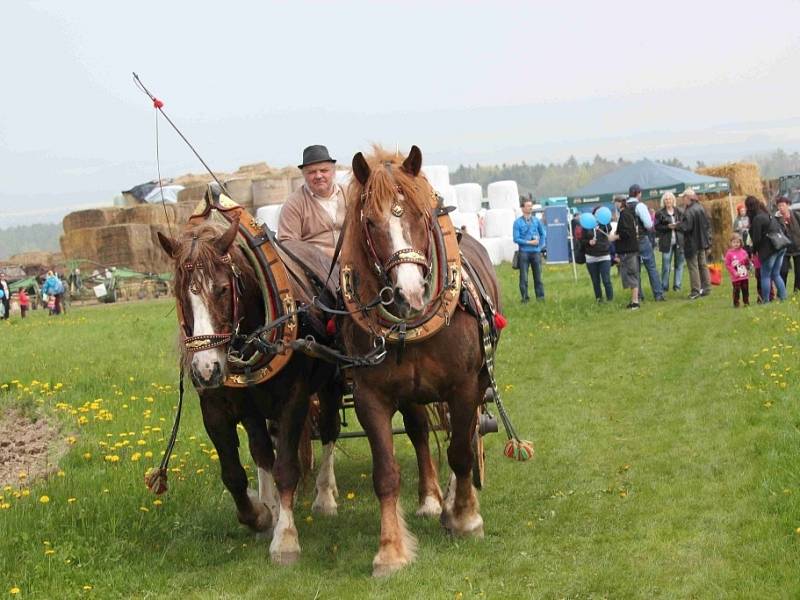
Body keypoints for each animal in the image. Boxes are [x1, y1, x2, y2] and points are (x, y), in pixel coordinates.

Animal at [158, 214, 342, 564]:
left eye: (222, 289)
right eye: (178, 292)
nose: (205, 369)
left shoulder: (293, 399)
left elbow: (286, 467)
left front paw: (285, 538)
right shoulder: (218, 408)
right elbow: (235, 472)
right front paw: (261, 515)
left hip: (331, 383)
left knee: (328, 430)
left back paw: (325, 495)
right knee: (262, 450)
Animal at [340, 145, 500, 576]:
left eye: (422, 216)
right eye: (370, 222)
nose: (408, 293)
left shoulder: (464, 385)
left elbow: (461, 451)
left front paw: (465, 517)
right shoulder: (370, 396)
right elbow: (385, 473)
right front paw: (390, 550)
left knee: (466, 434)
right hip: (411, 395)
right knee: (420, 433)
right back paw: (430, 499)